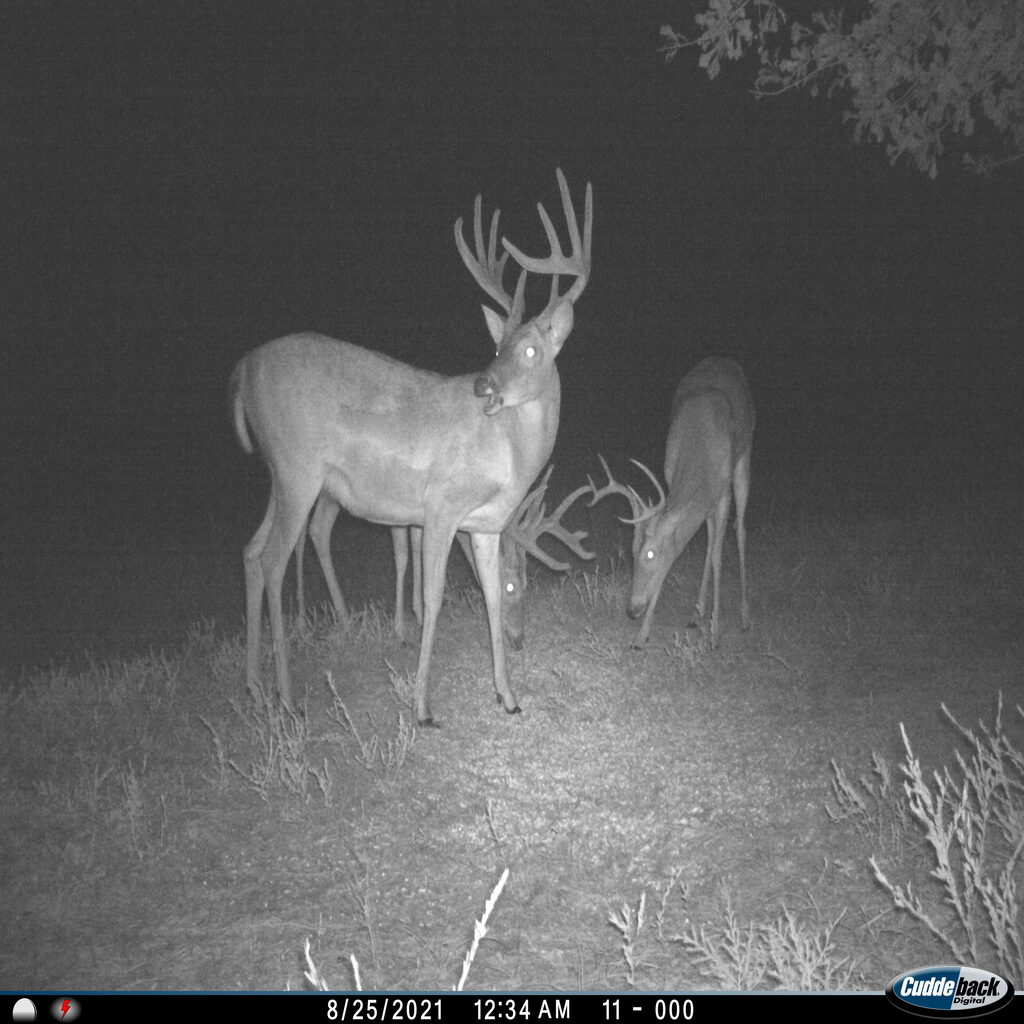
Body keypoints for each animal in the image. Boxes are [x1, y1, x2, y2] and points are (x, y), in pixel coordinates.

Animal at [292, 465, 595, 649]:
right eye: (509, 586)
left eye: (526, 583)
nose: (519, 639)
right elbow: (402, 556)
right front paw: (401, 630)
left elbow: (417, 549)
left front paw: (418, 614)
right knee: (312, 529)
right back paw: (334, 620)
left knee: (309, 529)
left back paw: (307, 619)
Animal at [588, 357, 754, 648]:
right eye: (632, 551)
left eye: (650, 553)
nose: (632, 609)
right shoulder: (671, 478)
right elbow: (683, 553)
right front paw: (641, 636)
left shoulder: (723, 494)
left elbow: (718, 557)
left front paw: (715, 633)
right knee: (709, 541)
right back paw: (697, 613)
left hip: (744, 458)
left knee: (740, 531)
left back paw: (743, 618)